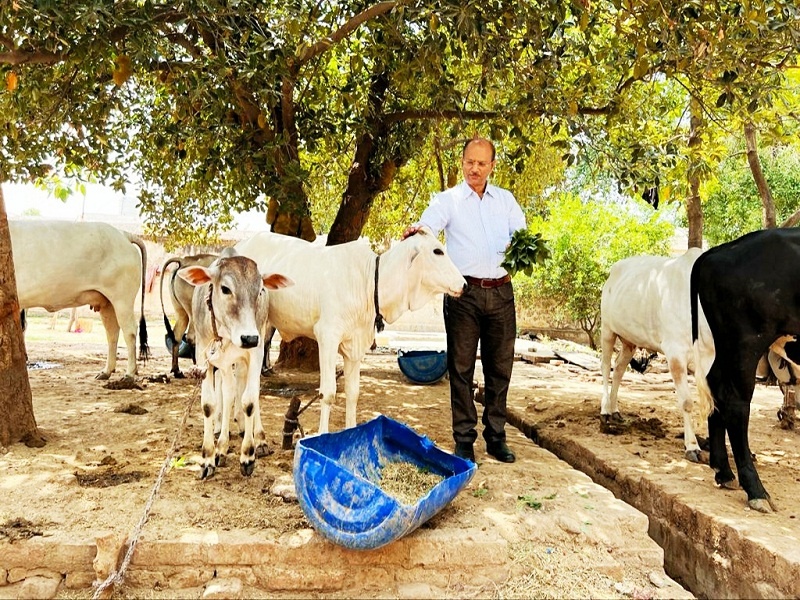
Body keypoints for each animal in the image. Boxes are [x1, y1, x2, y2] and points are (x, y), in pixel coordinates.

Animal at [10, 220, 148, 380]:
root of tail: (123, 234)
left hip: (122, 299)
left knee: (129, 332)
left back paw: (130, 373)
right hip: (108, 303)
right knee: (112, 333)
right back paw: (106, 371)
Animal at [179, 248, 294, 478]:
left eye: (260, 290)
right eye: (225, 289)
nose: (248, 338)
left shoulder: (256, 351)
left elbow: (249, 400)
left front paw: (248, 455)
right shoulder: (208, 355)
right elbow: (211, 403)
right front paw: (209, 457)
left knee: (244, 391)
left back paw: (257, 438)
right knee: (228, 393)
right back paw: (222, 438)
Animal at [234, 227, 466, 434]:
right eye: (437, 251)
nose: (464, 284)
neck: (368, 282)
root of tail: (240, 246)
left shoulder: (355, 345)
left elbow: (353, 393)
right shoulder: (327, 337)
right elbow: (328, 393)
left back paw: (246, 428)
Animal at [596, 246, 708, 462]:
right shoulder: (675, 354)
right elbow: (687, 402)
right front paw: (692, 446)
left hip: (629, 340)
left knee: (619, 368)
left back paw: (615, 410)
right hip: (607, 330)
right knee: (606, 367)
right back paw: (605, 410)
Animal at [688, 227, 800, 512]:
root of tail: (717, 251)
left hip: (726, 345)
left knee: (716, 385)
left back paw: (724, 472)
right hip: (746, 342)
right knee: (736, 402)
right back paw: (755, 490)